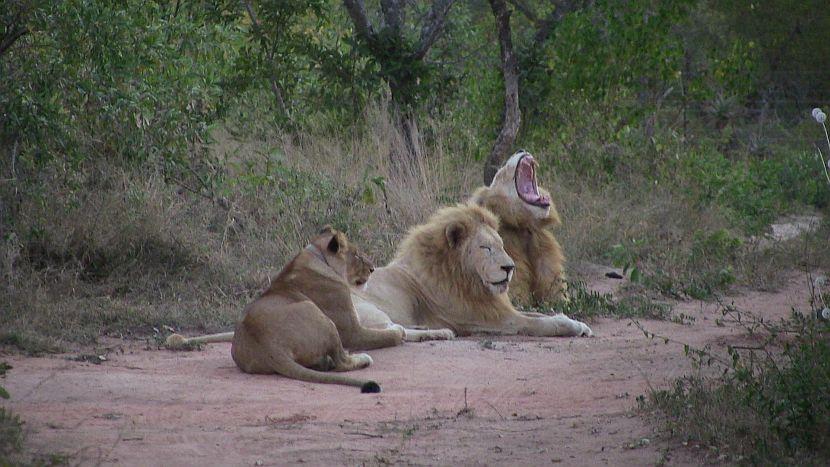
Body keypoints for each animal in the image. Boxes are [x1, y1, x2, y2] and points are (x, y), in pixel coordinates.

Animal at [167, 229, 404, 394]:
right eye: (357, 255)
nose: (372, 269)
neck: (318, 257)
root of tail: (270, 347)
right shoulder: (352, 332)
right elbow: (388, 336)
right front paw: (399, 331)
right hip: (316, 312)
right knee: (341, 361)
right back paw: (361, 358)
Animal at [354, 204, 596, 336]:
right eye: (485, 248)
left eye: (501, 245)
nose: (510, 268)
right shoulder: (487, 320)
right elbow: (537, 323)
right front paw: (570, 326)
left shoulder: (495, 308)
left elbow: (538, 313)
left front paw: (578, 323)